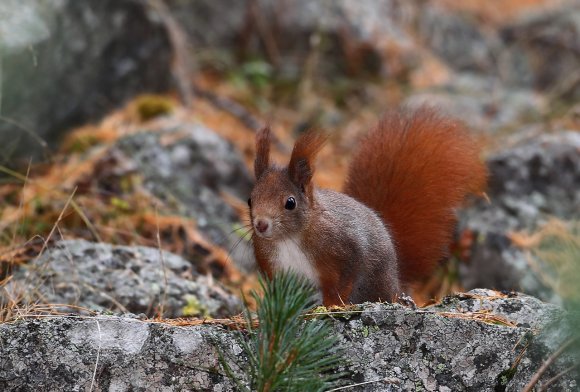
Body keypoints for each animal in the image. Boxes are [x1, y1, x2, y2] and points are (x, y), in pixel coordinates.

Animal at [247, 106, 488, 306]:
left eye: (290, 202)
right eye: (250, 199)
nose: (261, 225)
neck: (290, 238)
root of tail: (396, 281)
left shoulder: (344, 249)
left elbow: (344, 280)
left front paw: (332, 305)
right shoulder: (273, 267)